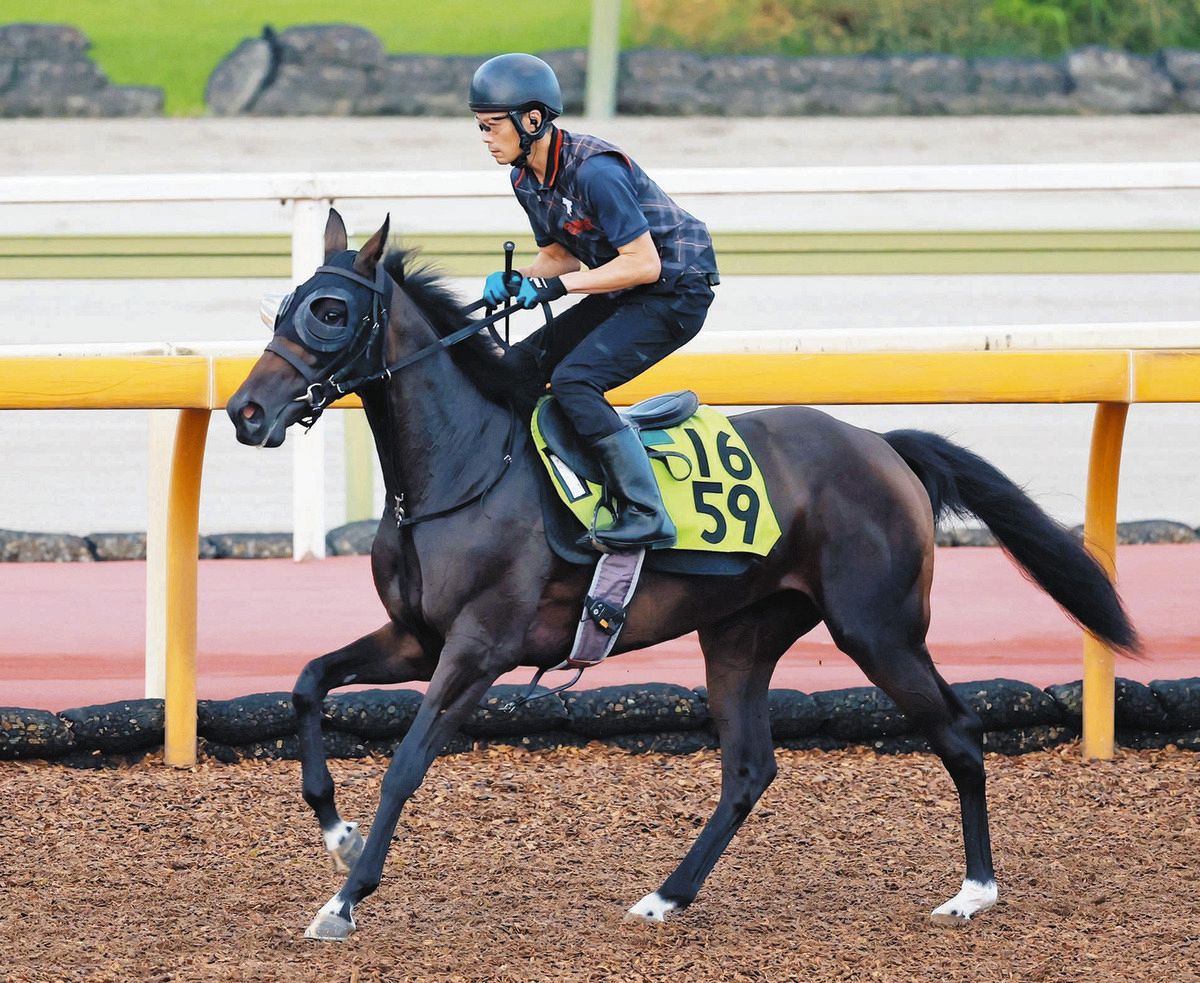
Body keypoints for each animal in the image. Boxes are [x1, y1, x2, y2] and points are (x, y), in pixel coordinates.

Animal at [227, 210, 1137, 941]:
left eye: (332, 310)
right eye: (285, 302)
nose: (245, 411)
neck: (465, 466)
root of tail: (883, 445)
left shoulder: (478, 648)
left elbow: (408, 761)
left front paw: (344, 898)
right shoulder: (416, 637)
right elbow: (308, 681)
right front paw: (336, 830)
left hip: (877, 629)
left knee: (959, 732)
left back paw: (974, 890)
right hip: (742, 633)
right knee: (749, 769)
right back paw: (666, 895)